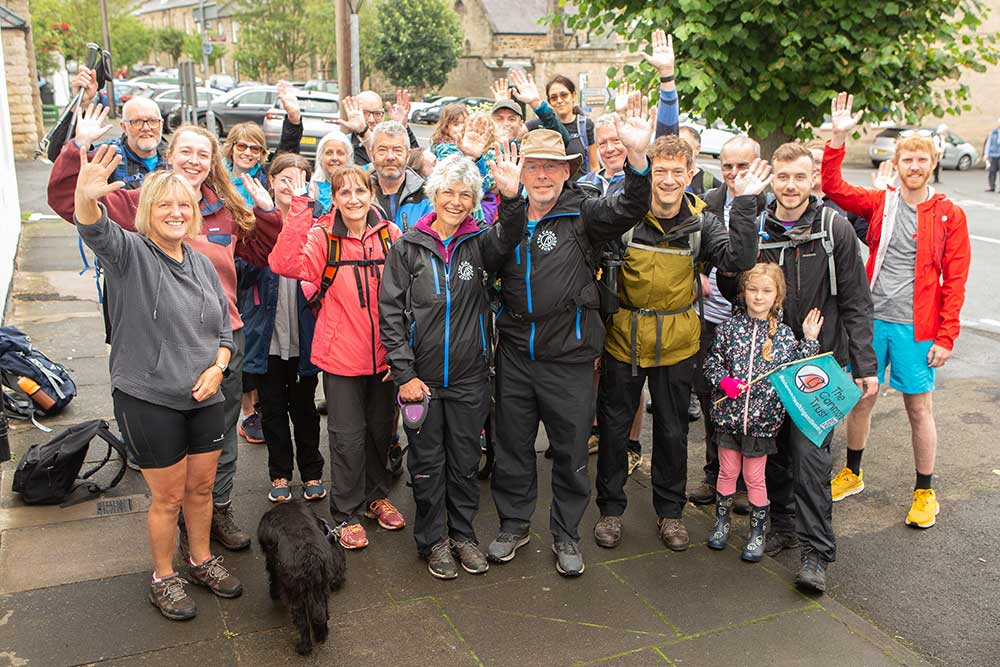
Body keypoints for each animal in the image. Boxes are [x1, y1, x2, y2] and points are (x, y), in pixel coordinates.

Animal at [258, 498, 348, 656]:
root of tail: (310, 556)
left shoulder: (270, 559)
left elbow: (272, 577)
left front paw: (274, 593)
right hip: (321, 588)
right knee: (321, 613)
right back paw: (321, 635)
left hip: (295, 595)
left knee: (303, 622)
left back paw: (303, 648)